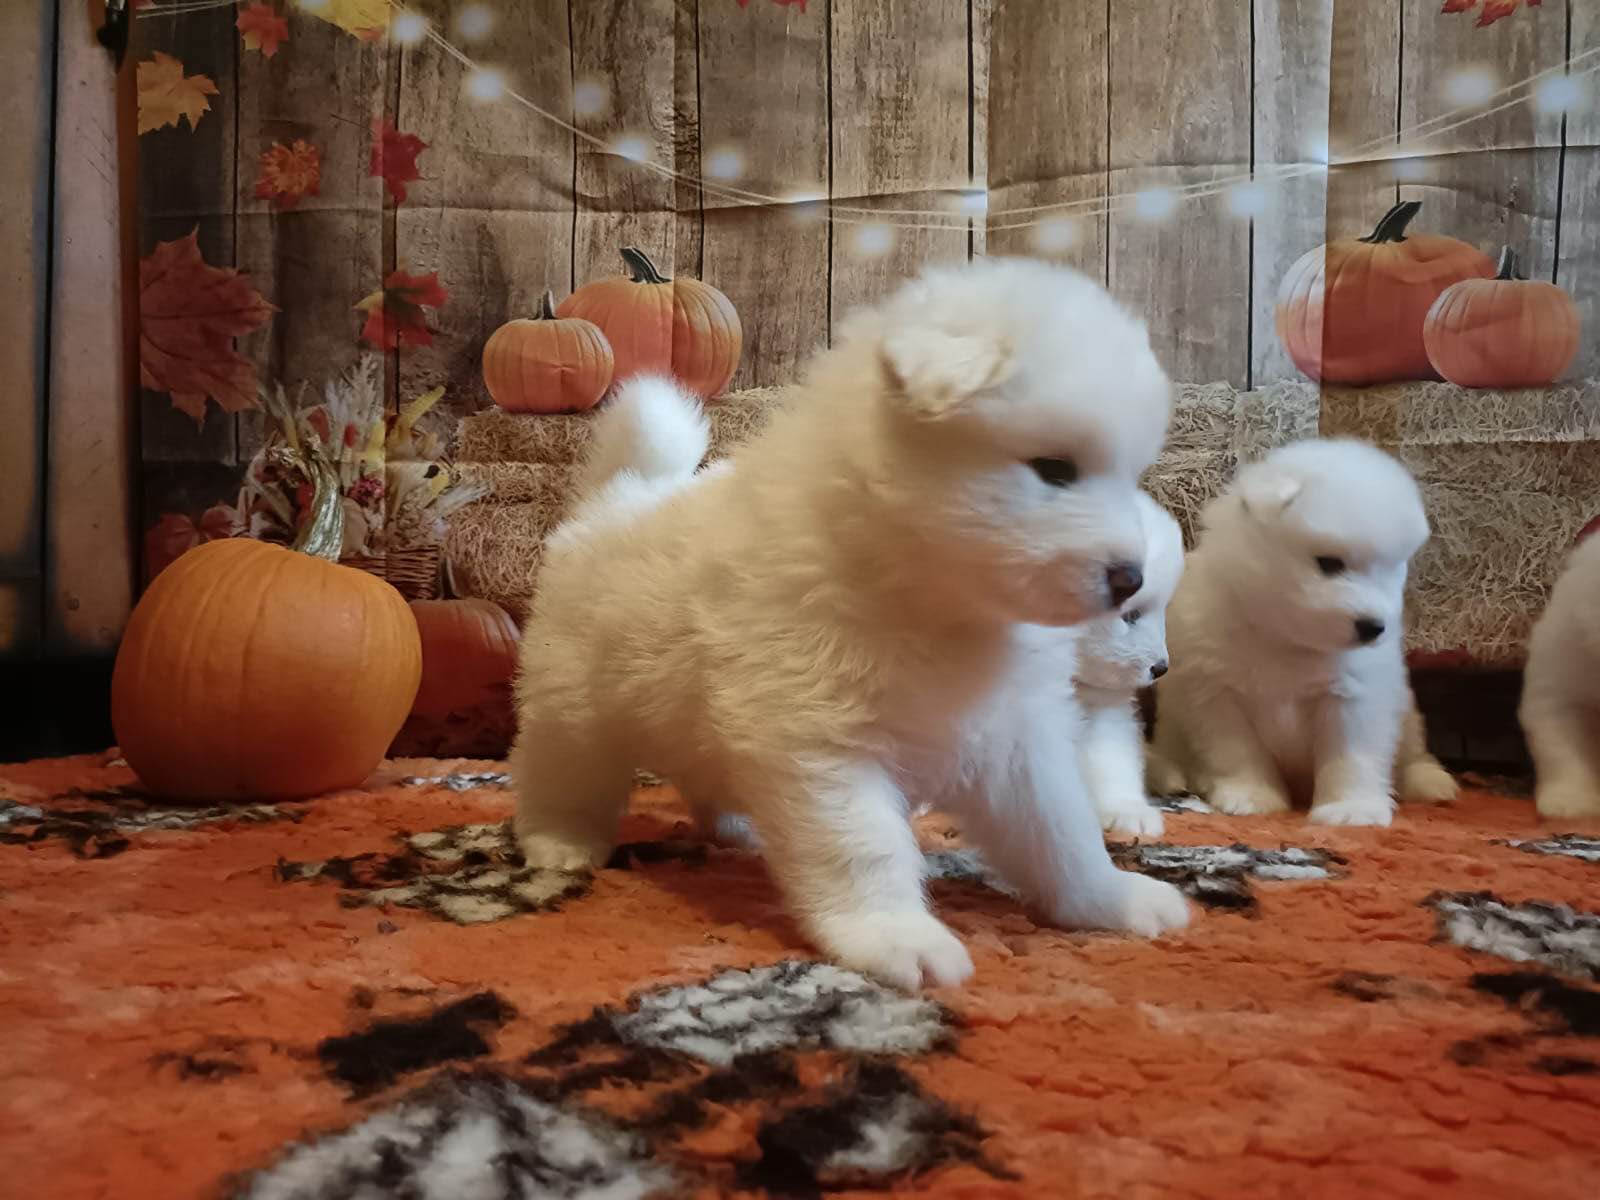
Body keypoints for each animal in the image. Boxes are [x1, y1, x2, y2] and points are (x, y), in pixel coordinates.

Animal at [1145, 438, 1459, 825]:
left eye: (1394, 567)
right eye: (1329, 563)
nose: (1374, 628)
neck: (1285, 639)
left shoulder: (1352, 696)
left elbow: (1348, 757)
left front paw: (1350, 808)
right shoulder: (1216, 694)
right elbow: (1239, 753)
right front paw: (1253, 796)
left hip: (1406, 711)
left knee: (1413, 754)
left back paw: (1431, 783)